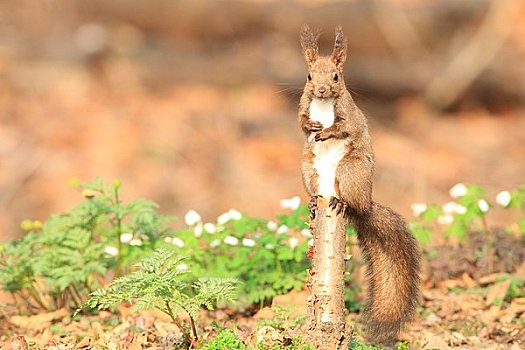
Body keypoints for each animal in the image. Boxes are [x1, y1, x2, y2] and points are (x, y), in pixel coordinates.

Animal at [296, 26, 420, 346]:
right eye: (309, 76)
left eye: (336, 76)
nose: (322, 91)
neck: (324, 106)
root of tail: (366, 204)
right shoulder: (304, 103)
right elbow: (301, 121)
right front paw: (312, 128)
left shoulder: (350, 114)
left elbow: (345, 127)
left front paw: (327, 131)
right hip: (309, 170)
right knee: (317, 191)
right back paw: (315, 201)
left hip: (350, 172)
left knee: (351, 202)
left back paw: (342, 203)